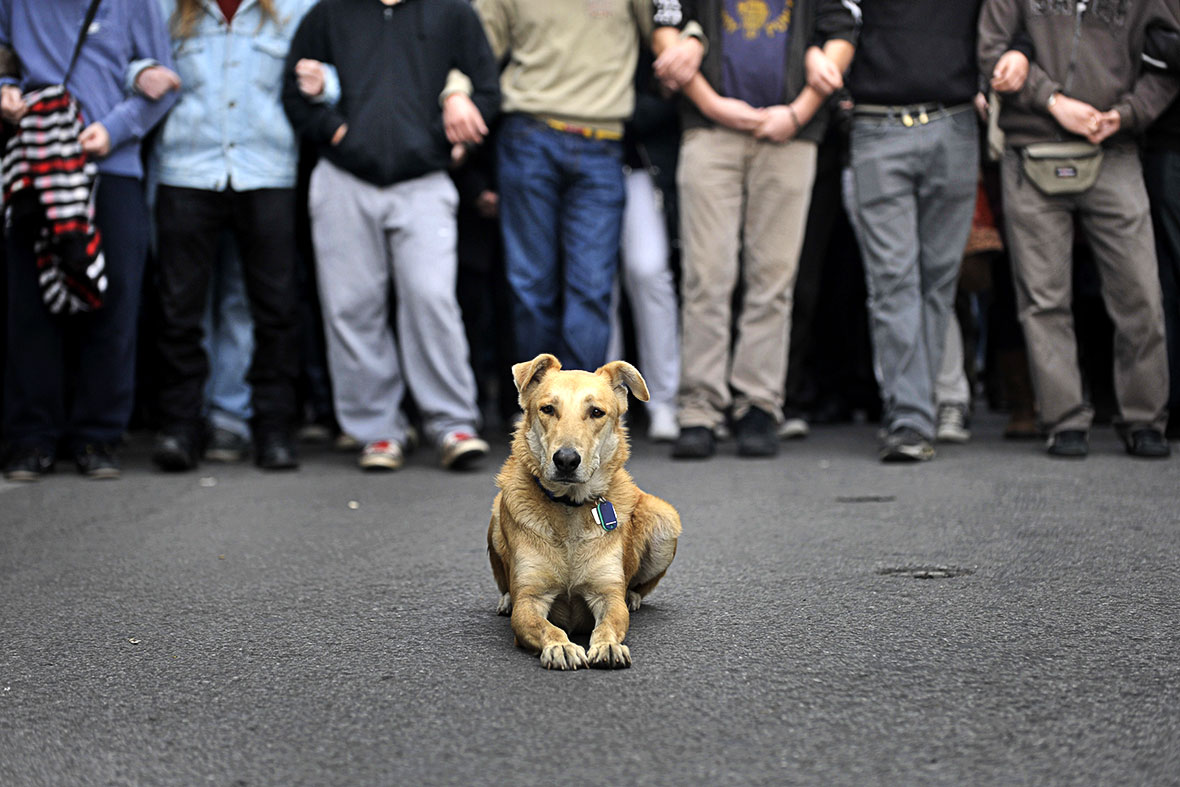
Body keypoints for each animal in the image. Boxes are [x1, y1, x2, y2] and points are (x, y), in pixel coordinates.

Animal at [486, 356, 684, 670]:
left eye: (596, 412)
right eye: (548, 409)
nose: (566, 460)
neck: (570, 507)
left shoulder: (608, 595)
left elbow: (610, 623)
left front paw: (608, 645)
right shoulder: (530, 600)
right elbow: (546, 626)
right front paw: (562, 646)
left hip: (665, 517)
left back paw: (633, 597)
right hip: (495, 516)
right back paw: (506, 600)